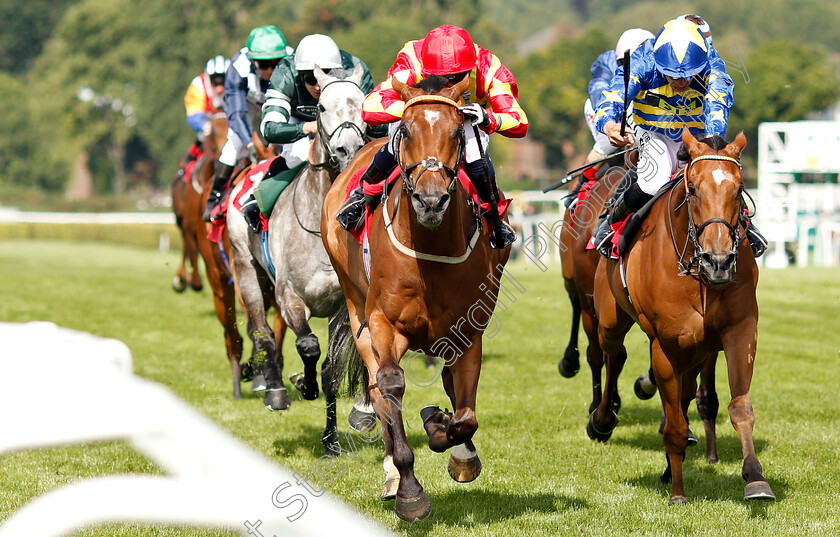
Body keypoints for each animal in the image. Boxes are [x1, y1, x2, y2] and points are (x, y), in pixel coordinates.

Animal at [230, 65, 374, 454]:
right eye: (321, 107)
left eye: (362, 104)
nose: (347, 148)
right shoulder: (290, 296)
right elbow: (307, 345)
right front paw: (301, 384)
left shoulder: (343, 305)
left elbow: (331, 369)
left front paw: (331, 441)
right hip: (245, 268)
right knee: (263, 331)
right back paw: (275, 389)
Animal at [320, 75, 506, 520]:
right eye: (404, 130)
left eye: (457, 132)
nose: (430, 199)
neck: (429, 249)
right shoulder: (384, 323)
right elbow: (389, 386)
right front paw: (409, 489)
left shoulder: (467, 332)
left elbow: (465, 412)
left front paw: (444, 433)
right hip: (355, 306)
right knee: (375, 387)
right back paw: (391, 471)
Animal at [592, 130, 776, 502]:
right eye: (692, 189)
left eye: (739, 189)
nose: (719, 260)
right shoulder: (665, 343)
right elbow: (675, 420)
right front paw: (678, 490)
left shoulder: (739, 330)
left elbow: (739, 407)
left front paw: (755, 477)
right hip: (610, 320)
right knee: (613, 355)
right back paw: (602, 420)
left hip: (696, 349)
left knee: (684, 392)